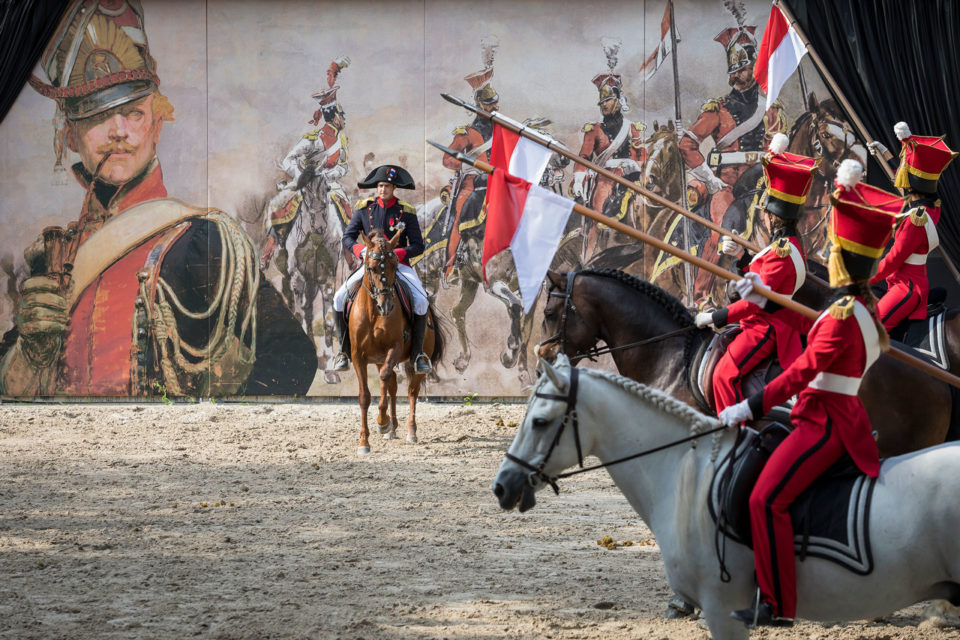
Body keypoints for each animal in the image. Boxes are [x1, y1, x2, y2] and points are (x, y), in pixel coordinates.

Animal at [348, 230, 446, 456]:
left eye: (394, 265)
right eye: (371, 267)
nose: (386, 306)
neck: (373, 313)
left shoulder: (394, 348)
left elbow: (384, 378)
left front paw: (382, 421)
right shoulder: (358, 357)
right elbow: (364, 396)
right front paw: (364, 442)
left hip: (415, 360)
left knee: (411, 391)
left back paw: (410, 431)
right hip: (378, 358)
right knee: (392, 385)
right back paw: (392, 429)